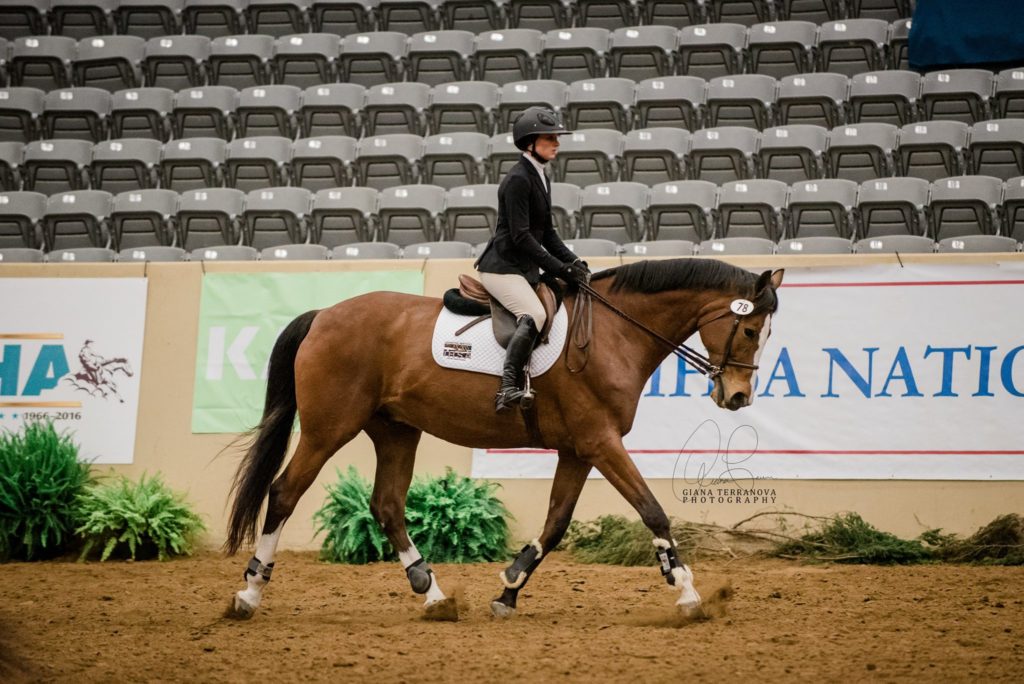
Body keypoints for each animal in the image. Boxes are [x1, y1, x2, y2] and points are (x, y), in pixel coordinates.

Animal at [226, 259, 782, 622]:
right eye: (750, 331)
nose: (737, 397)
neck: (613, 334)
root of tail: (323, 314)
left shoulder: (578, 449)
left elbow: (556, 524)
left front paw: (511, 587)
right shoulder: (600, 442)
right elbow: (653, 511)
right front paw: (686, 592)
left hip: (395, 429)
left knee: (386, 505)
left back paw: (433, 595)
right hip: (329, 429)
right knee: (285, 493)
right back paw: (249, 594)